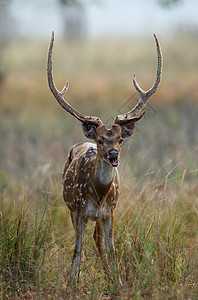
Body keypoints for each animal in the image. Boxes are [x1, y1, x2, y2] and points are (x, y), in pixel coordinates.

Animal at [46, 31, 162, 282]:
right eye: (100, 140)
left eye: (120, 139)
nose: (113, 154)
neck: (98, 194)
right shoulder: (78, 211)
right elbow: (77, 248)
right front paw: (72, 282)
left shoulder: (110, 212)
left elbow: (111, 247)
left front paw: (118, 282)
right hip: (70, 206)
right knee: (87, 241)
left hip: (100, 216)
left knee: (98, 242)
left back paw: (109, 276)